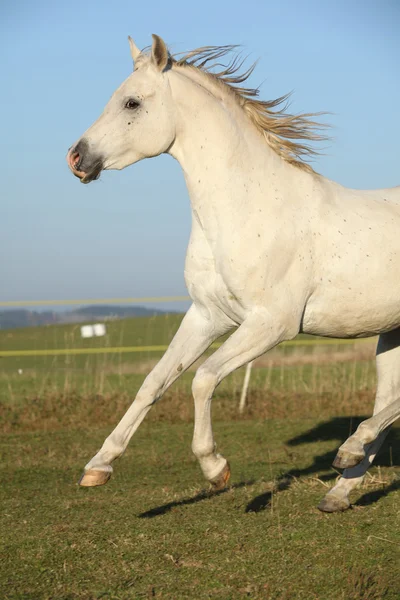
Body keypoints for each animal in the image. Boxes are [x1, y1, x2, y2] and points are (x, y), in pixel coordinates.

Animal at [67, 34, 398, 510]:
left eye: (131, 102)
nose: (76, 158)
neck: (246, 206)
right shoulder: (208, 316)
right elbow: (154, 381)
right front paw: (98, 466)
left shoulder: (272, 324)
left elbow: (203, 379)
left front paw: (215, 468)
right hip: (391, 333)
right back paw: (339, 489)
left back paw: (350, 449)